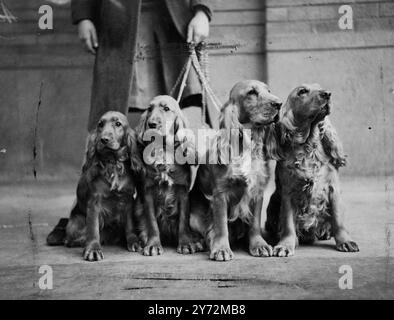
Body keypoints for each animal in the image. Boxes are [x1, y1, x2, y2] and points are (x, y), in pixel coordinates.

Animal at [46, 111, 144, 262]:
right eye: (100, 124)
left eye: (118, 124)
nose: (103, 139)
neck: (112, 163)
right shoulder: (94, 202)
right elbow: (93, 229)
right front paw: (93, 249)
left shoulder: (127, 200)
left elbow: (130, 224)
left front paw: (133, 241)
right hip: (77, 222)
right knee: (69, 239)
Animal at [135, 96, 203, 256]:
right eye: (149, 109)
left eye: (166, 109)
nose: (152, 124)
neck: (163, 149)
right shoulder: (148, 193)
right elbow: (152, 223)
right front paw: (153, 245)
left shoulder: (183, 192)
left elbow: (183, 221)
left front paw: (186, 244)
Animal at [189, 80, 282, 260]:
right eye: (251, 92)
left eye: (268, 91)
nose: (279, 103)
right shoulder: (220, 193)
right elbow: (221, 226)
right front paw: (221, 249)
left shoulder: (257, 191)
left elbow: (254, 224)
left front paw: (259, 245)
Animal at [264, 84, 360, 256]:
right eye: (302, 91)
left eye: (320, 87)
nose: (327, 94)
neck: (308, 147)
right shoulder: (289, 192)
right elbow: (288, 223)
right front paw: (286, 244)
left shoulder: (333, 189)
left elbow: (338, 220)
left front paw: (345, 241)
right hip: (273, 201)